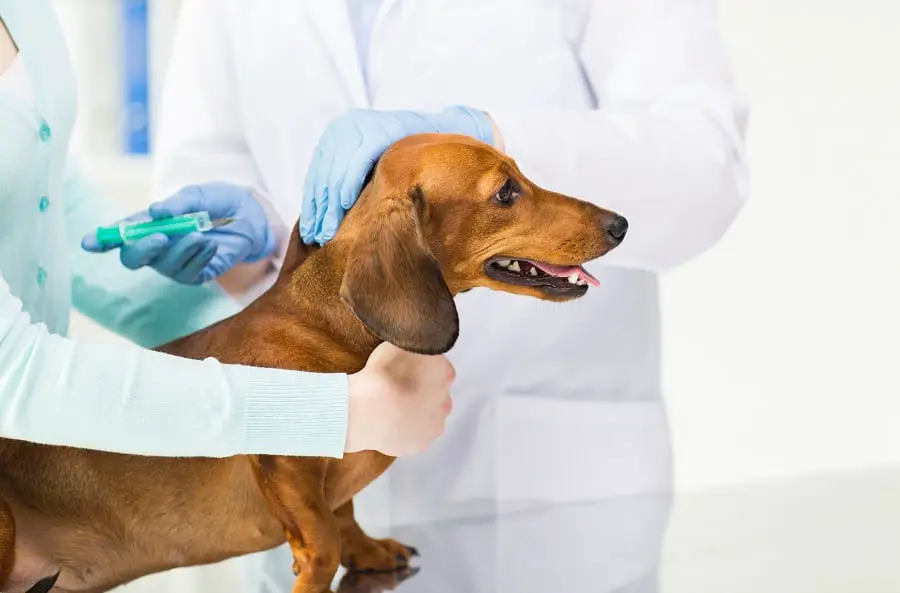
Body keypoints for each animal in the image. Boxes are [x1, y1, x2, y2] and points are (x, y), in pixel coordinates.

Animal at [0, 134, 624, 592]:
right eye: (505, 192)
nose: (620, 224)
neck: (332, 328)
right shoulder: (286, 462)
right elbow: (322, 537)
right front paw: (316, 572)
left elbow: (344, 513)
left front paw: (370, 550)